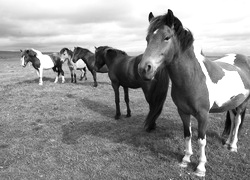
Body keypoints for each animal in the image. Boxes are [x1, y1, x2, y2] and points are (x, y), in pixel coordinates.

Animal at [138, 9, 250, 176]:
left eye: (166, 37)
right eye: (147, 38)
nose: (144, 69)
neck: (193, 77)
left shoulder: (203, 115)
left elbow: (201, 140)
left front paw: (200, 167)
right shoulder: (183, 112)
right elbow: (187, 134)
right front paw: (185, 159)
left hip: (243, 104)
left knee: (237, 123)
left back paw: (233, 146)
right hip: (231, 103)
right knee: (232, 118)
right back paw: (227, 143)